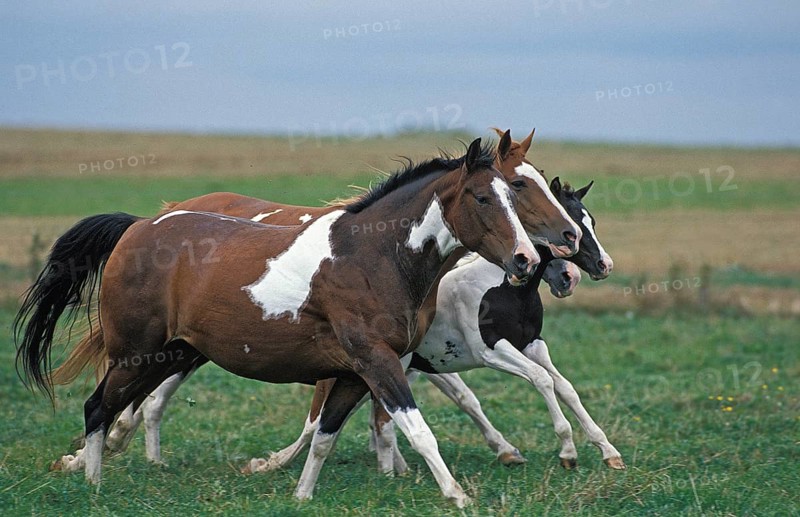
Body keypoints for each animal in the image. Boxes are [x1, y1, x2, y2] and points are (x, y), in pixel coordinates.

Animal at [14, 138, 552, 507]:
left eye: (514, 193)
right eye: (484, 198)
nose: (526, 260)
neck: (372, 255)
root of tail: (138, 227)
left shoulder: (355, 374)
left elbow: (324, 437)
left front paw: (301, 496)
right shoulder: (378, 363)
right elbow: (417, 430)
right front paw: (457, 495)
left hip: (175, 353)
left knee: (120, 408)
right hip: (136, 354)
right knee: (97, 408)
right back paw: (93, 484)